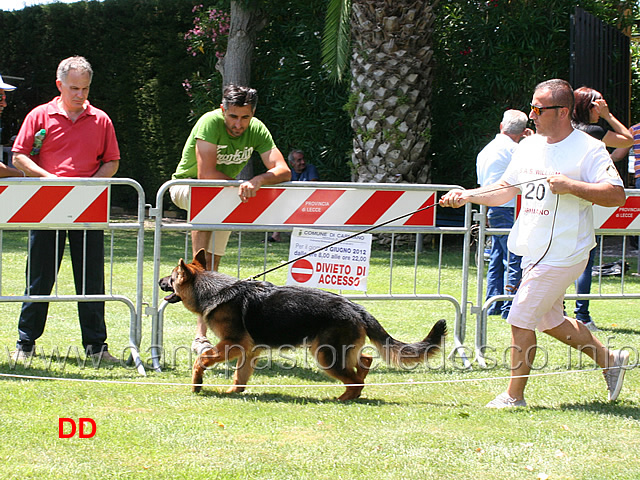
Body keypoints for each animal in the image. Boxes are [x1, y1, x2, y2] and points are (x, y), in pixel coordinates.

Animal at [160, 249, 444, 400]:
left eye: (171, 278)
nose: (160, 281)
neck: (210, 290)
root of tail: (356, 307)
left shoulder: (232, 343)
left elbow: (202, 358)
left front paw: (197, 383)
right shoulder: (248, 350)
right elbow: (240, 375)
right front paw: (233, 392)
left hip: (325, 355)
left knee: (355, 380)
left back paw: (343, 398)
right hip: (340, 352)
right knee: (364, 362)